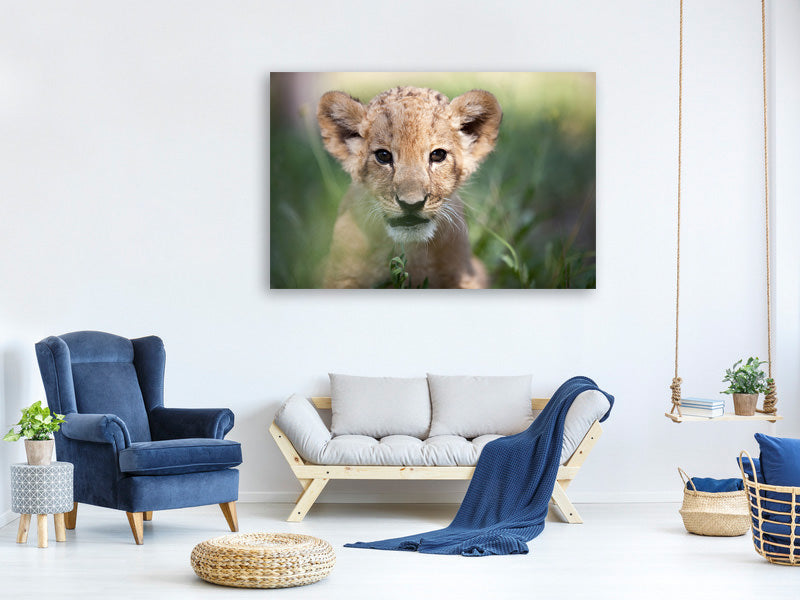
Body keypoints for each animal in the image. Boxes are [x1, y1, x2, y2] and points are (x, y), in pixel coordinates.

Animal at [316, 86, 502, 288]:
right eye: (383, 155)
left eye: (437, 155)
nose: (411, 204)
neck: (411, 250)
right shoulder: (340, 277)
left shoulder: (467, 276)